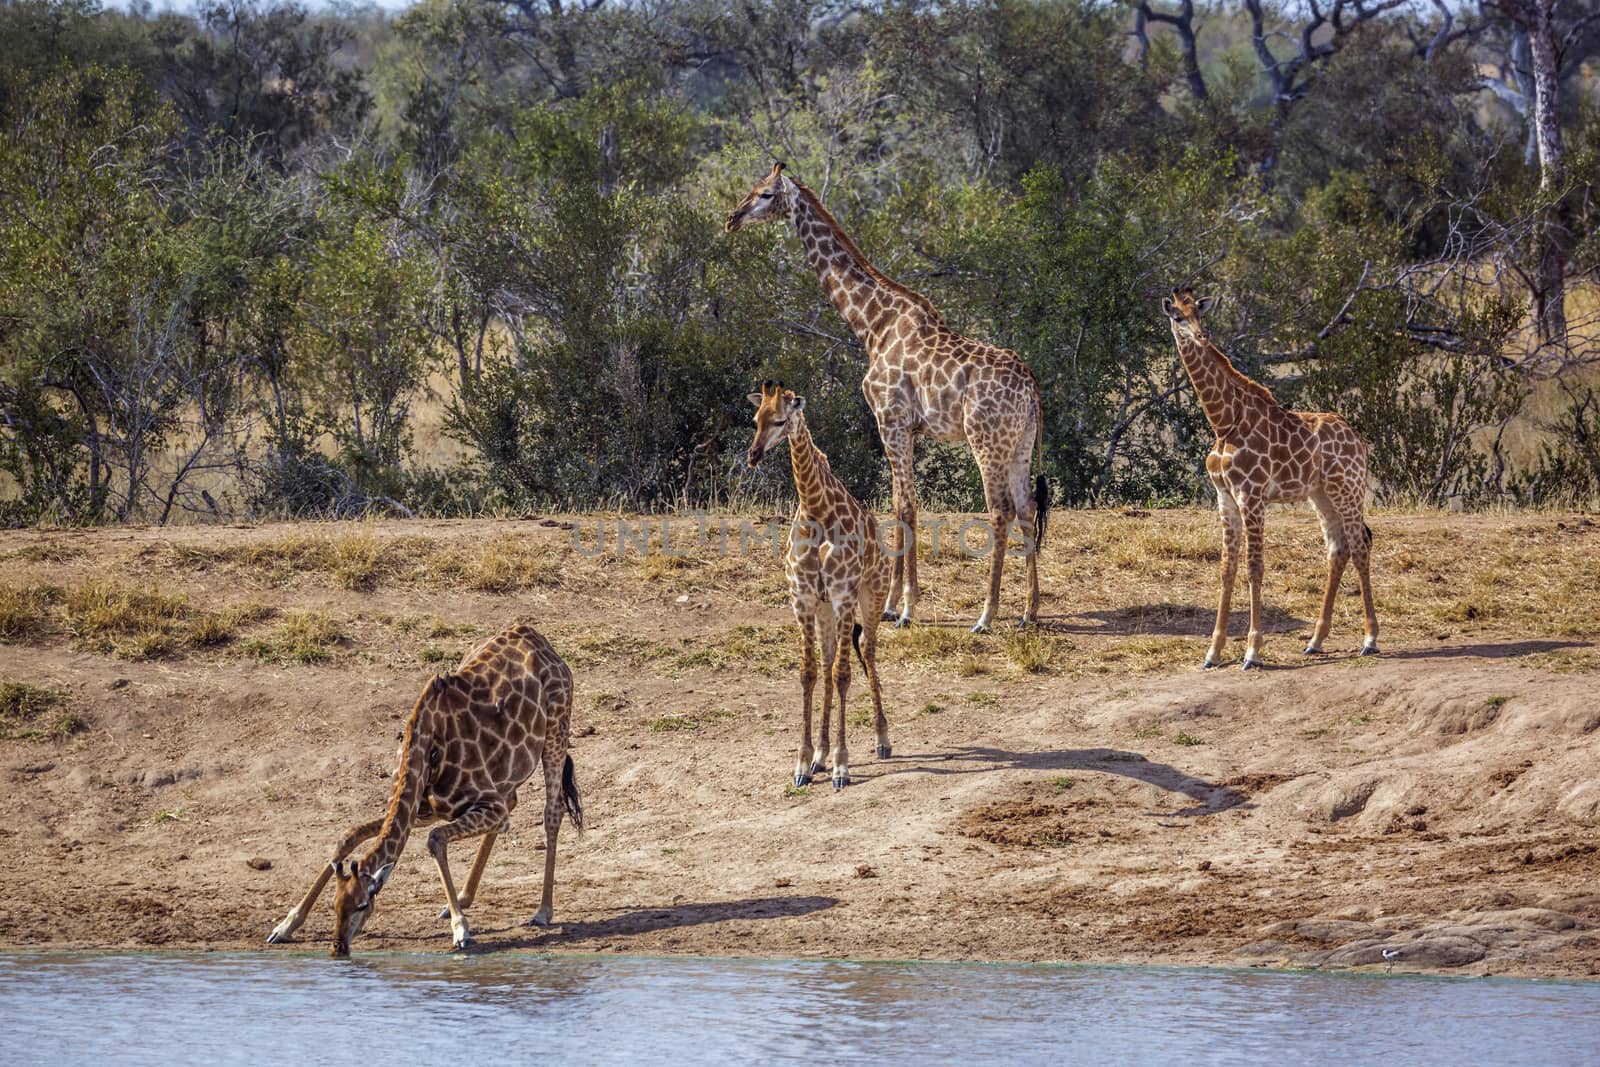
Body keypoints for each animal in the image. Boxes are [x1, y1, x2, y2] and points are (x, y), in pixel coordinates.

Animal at [265, 620, 585, 953]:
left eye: (363, 904)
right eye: (335, 905)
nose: (338, 948)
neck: (421, 750)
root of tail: (538, 639)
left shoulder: (481, 806)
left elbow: (435, 840)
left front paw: (461, 930)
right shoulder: (423, 810)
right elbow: (348, 836)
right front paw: (286, 925)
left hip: (556, 729)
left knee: (553, 810)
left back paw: (543, 911)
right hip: (503, 775)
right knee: (513, 801)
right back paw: (463, 898)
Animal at [726, 163, 1049, 633]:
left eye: (766, 194)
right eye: (752, 188)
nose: (732, 218)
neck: (872, 324)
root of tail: (1031, 386)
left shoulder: (890, 420)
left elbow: (907, 507)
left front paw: (908, 608)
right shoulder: (904, 427)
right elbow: (899, 505)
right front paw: (894, 603)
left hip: (985, 440)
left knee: (1001, 510)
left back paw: (986, 615)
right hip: (1021, 442)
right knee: (1027, 507)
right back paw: (1029, 611)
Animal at [745, 379, 896, 790]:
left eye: (781, 420)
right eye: (755, 419)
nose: (753, 455)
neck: (816, 508)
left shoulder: (844, 594)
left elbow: (843, 675)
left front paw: (842, 766)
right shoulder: (803, 598)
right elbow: (810, 673)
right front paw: (803, 761)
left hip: (872, 595)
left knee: (868, 651)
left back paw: (882, 740)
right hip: (827, 609)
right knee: (829, 662)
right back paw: (820, 755)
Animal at [1164, 287, 1376, 671]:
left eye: (1200, 314)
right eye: (1178, 316)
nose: (1201, 336)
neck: (1224, 422)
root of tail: (1359, 439)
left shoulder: (1252, 494)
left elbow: (1254, 567)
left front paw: (1252, 652)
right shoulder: (1225, 496)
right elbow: (1227, 568)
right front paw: (1212, 653)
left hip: (1347, 488)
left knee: (1360, 545)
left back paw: (1370, 640)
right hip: (1320, 494)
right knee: (1338, 548)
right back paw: (1315, 641)